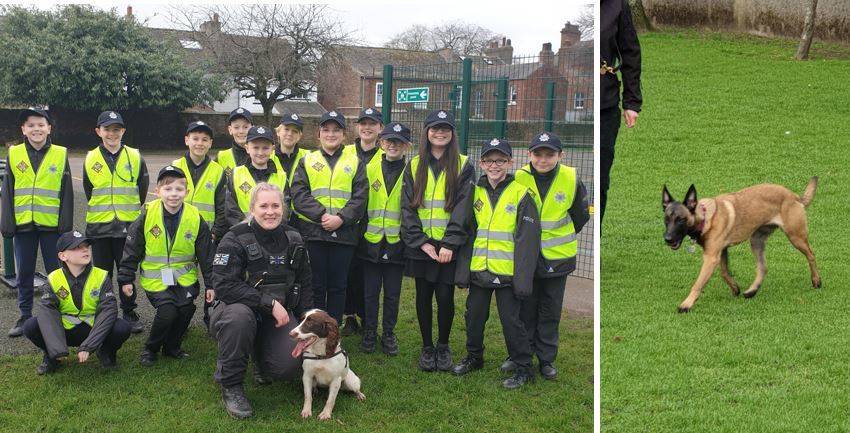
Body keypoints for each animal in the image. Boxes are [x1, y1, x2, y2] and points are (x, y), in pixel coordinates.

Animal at [660, 177, 820, 312]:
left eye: (680, 219)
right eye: (666, 219)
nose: (667, 239)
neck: (705, 217)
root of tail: (794, 196)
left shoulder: (711, 256)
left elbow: (698, 283)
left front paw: (686, 304)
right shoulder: (721, 251)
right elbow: (724, 272)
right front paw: (735, 288)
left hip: (796, 237)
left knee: (811, 255)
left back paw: (816, 280)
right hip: (756, 240)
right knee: (763, 267)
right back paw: (752, 291)